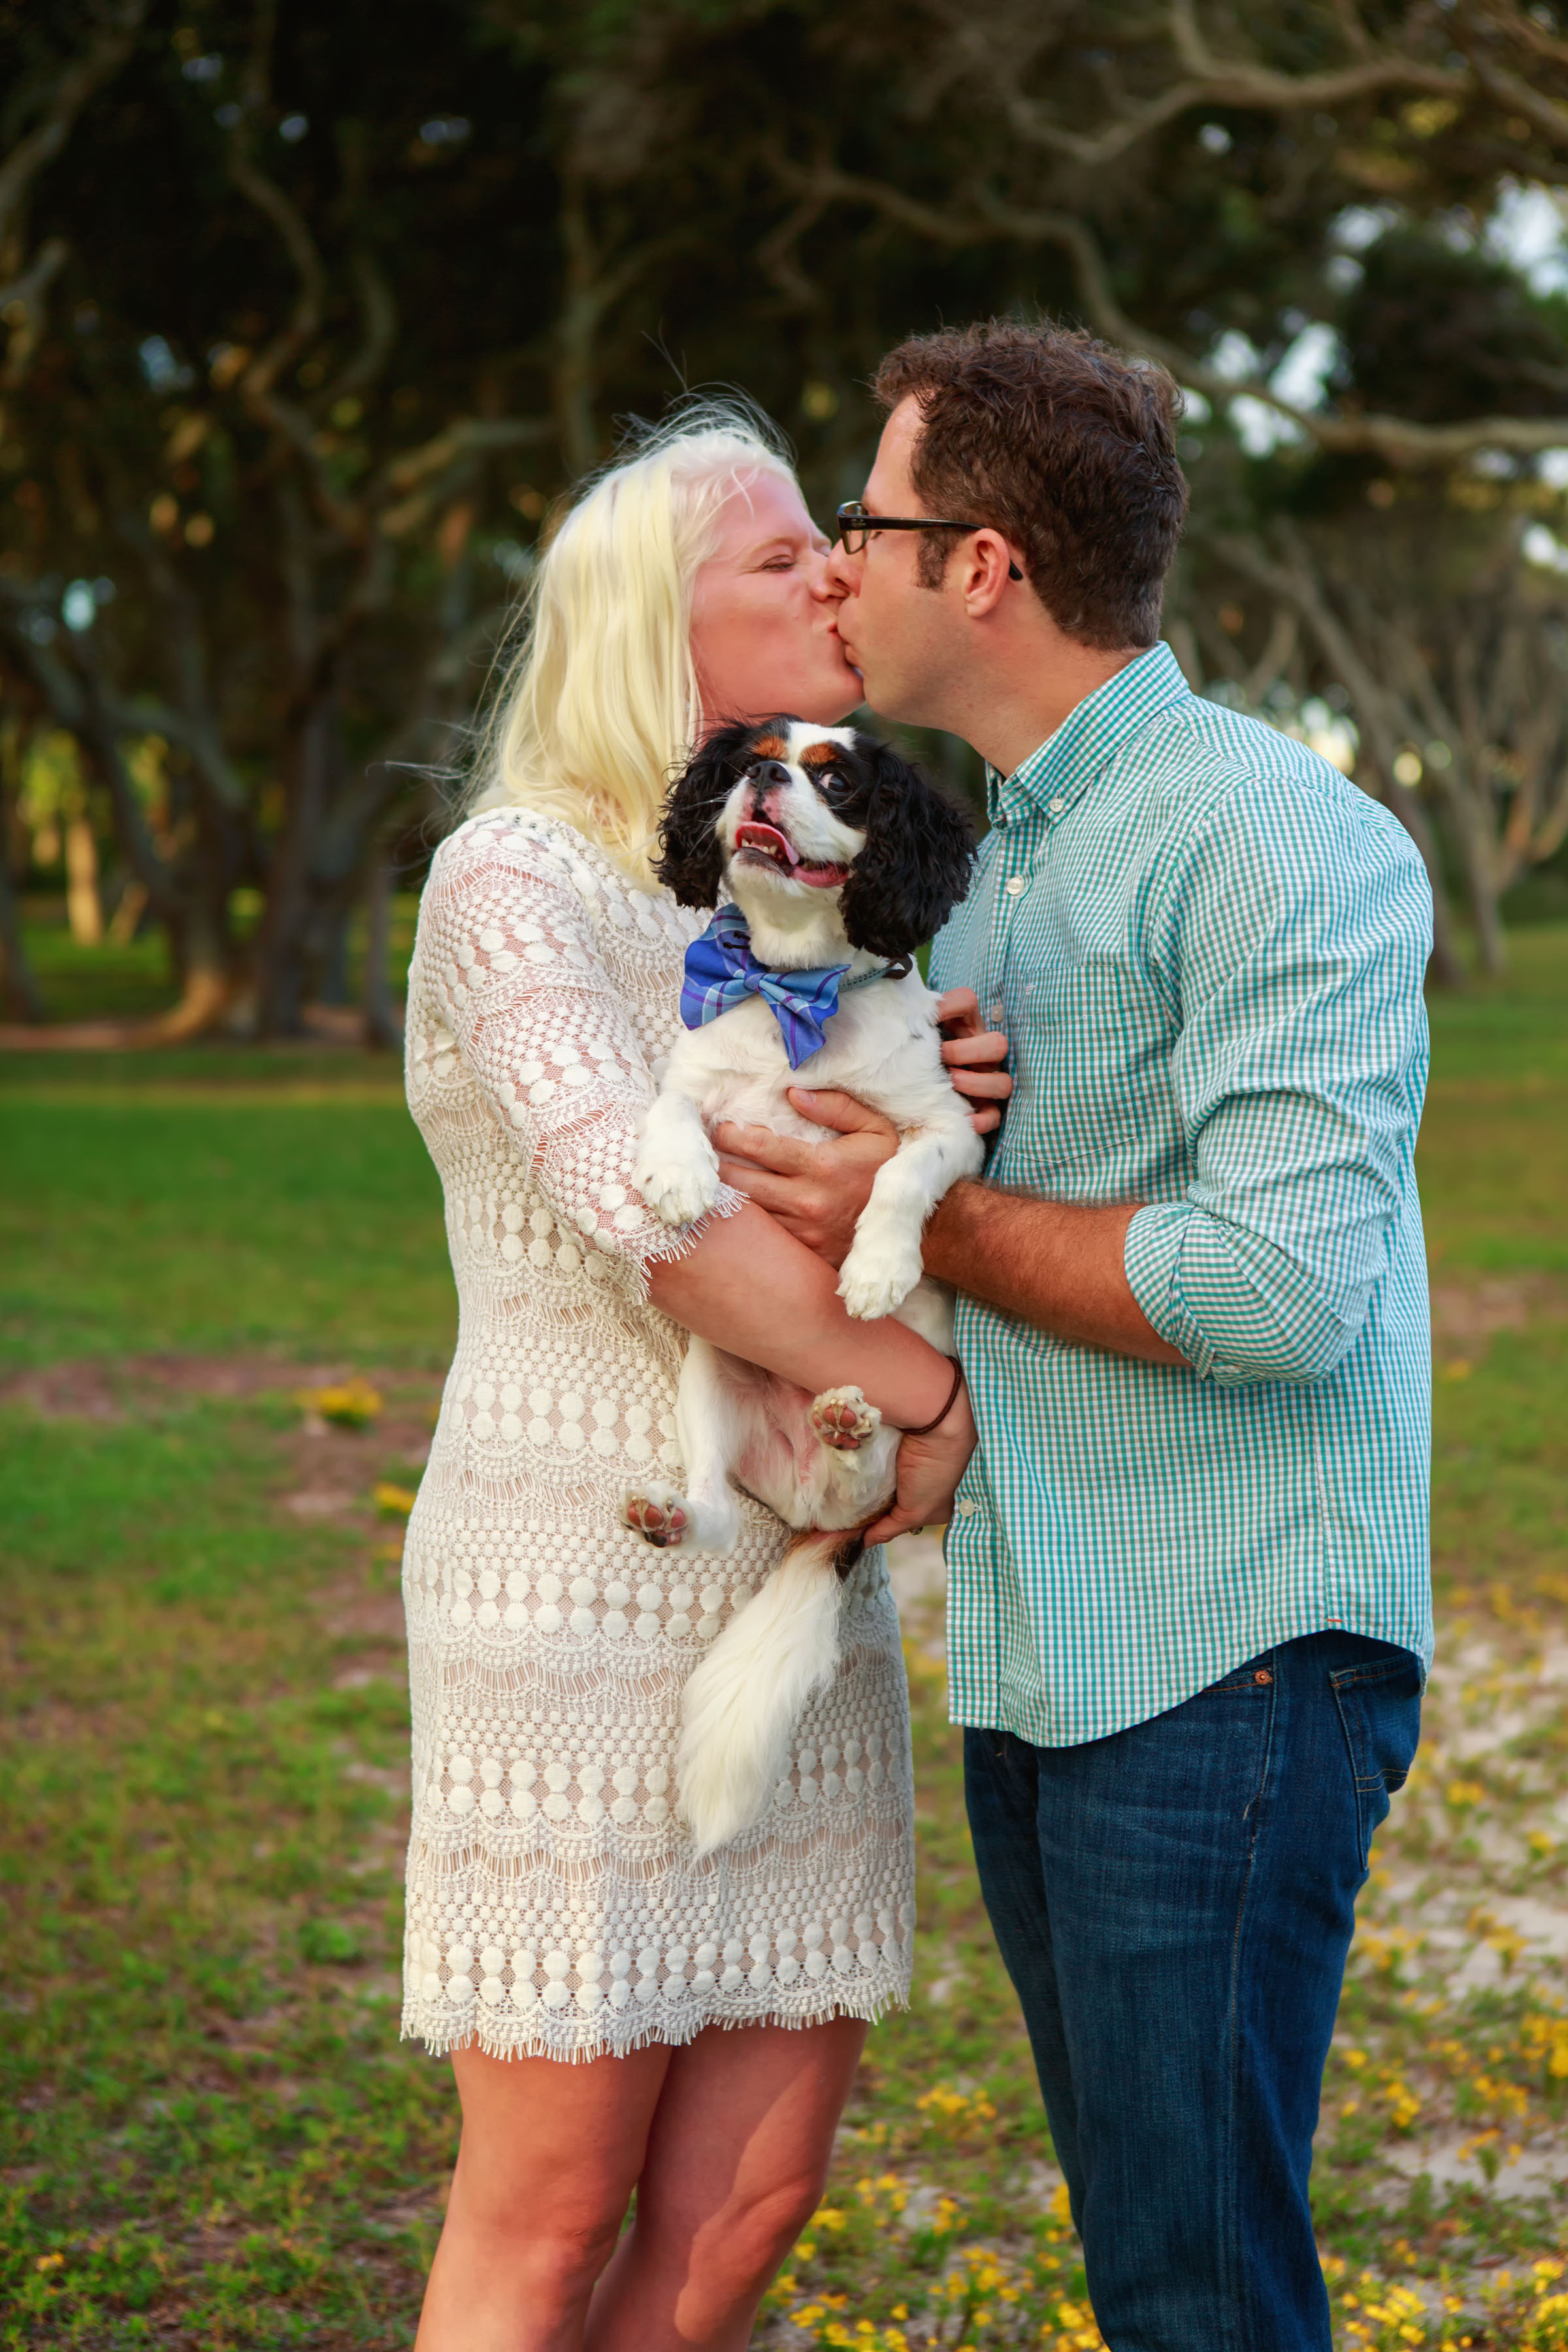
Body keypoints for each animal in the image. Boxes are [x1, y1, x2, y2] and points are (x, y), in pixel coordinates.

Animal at [620, 715, 973, 1853]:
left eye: (841, 781)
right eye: (748, 759)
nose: (767, 777)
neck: (788, 989)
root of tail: (815, 1515)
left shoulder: (947, 1128)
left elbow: (900, 1175)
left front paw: (874, 1270)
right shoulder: (695, 1084)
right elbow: (671, 1109)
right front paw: (679, 1176)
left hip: (898, 1439)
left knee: (863, 1474)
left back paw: (846, 1421)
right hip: (712, 1380)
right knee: (715, 1511)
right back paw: (679, 1513)